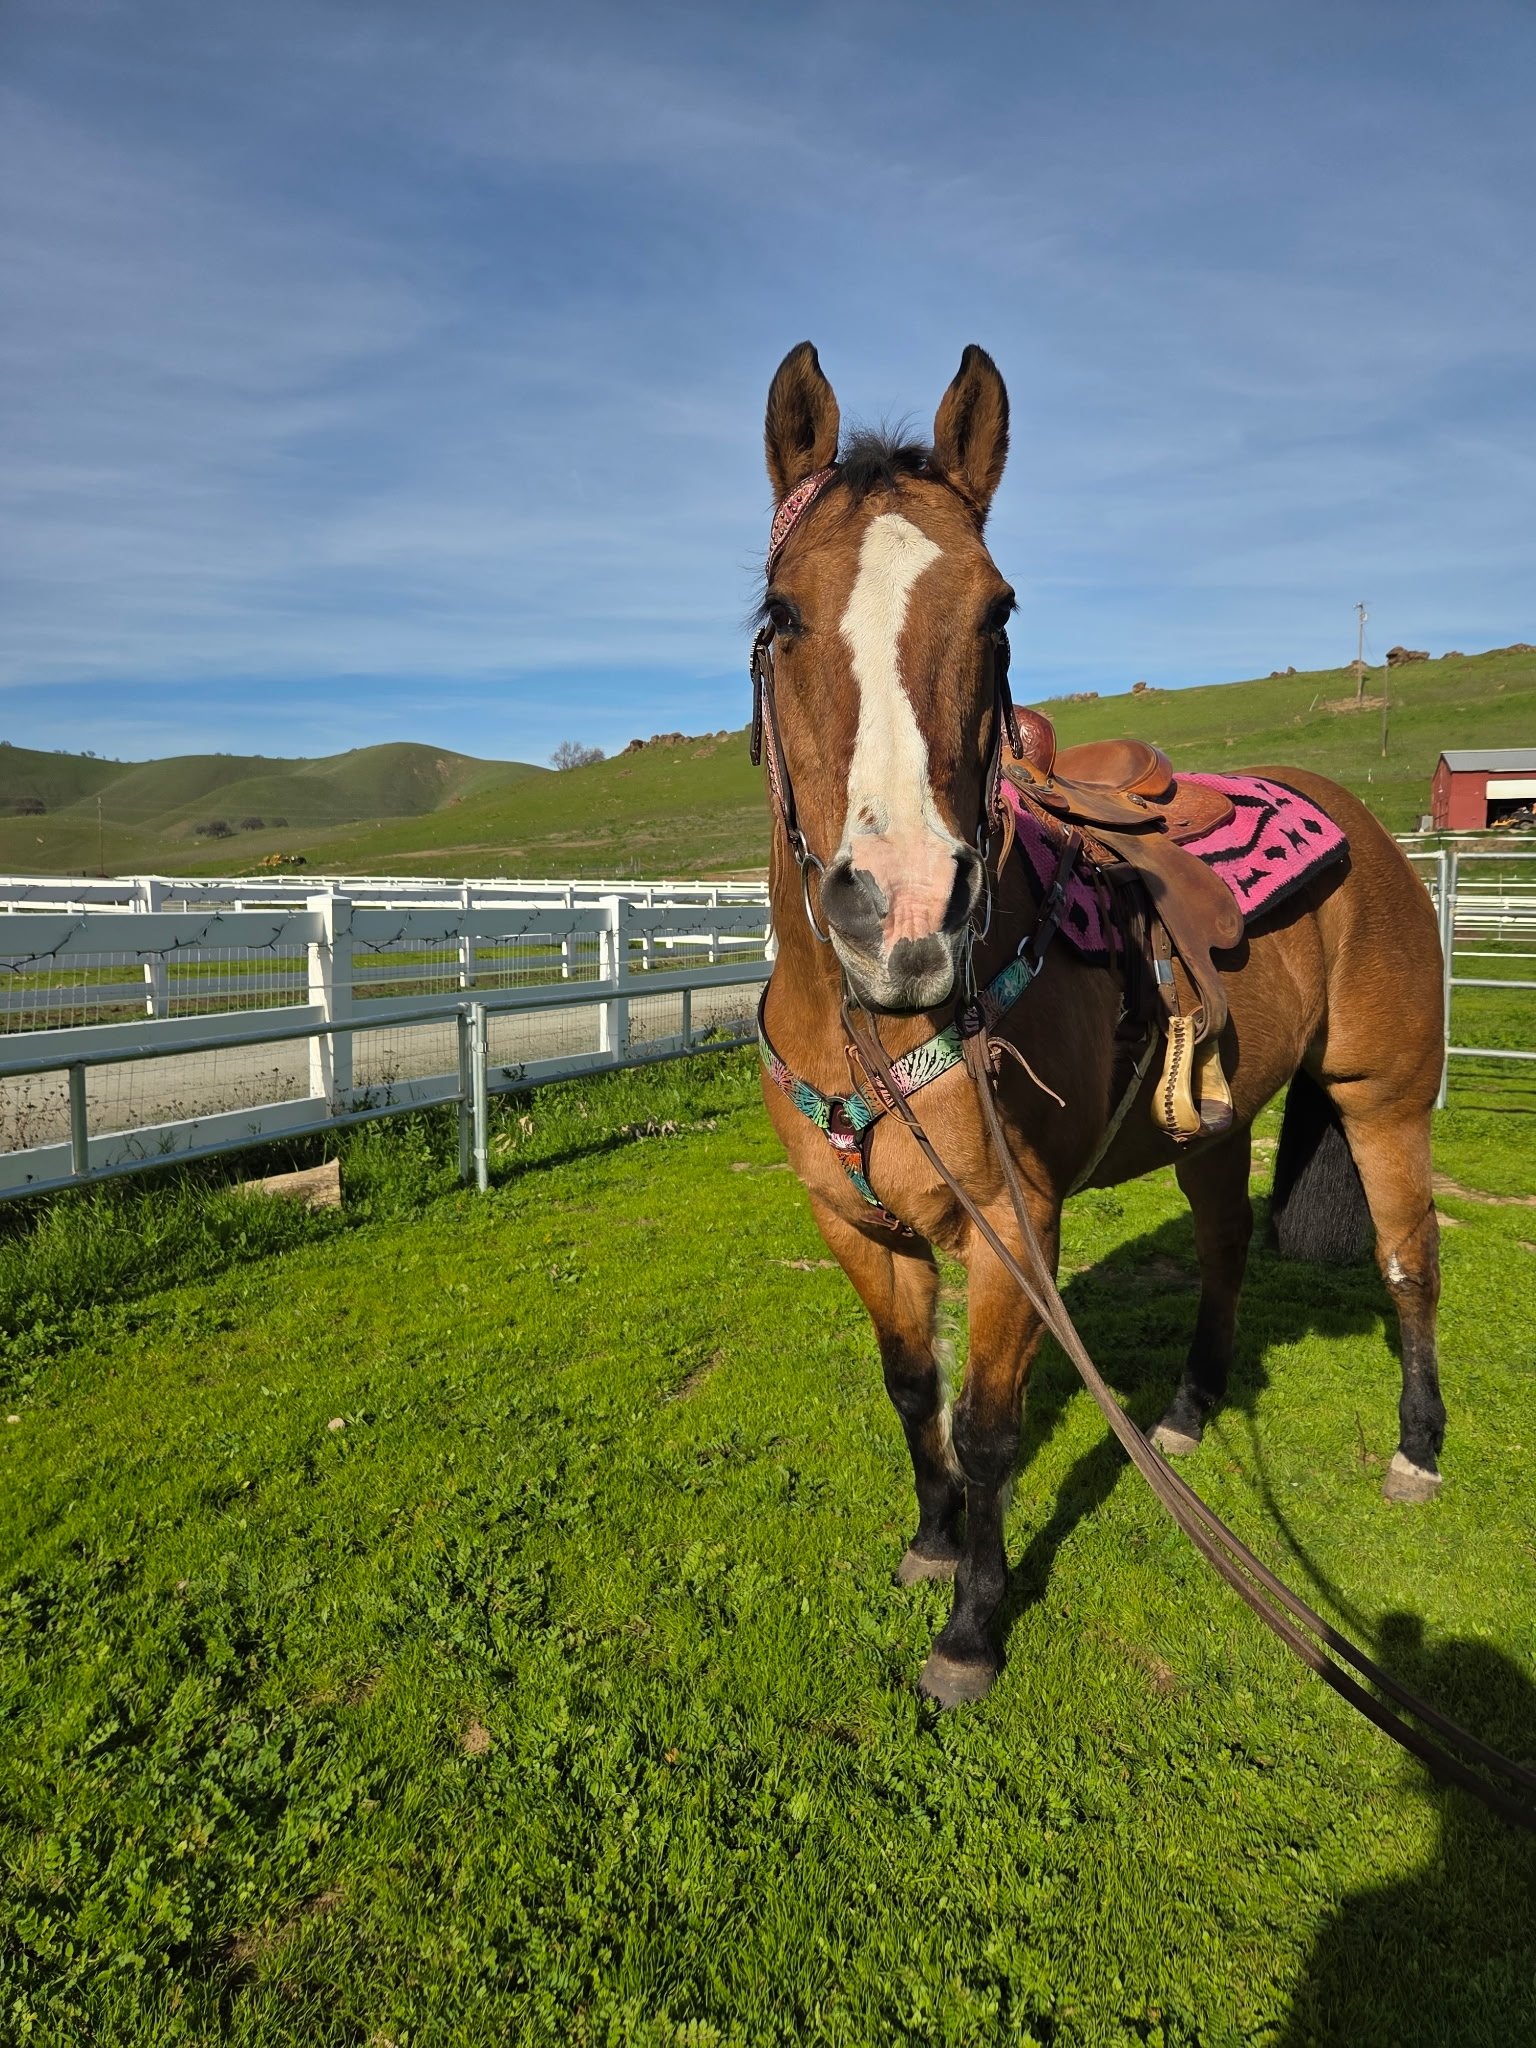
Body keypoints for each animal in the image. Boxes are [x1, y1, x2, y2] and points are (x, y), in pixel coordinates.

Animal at [752, 341, 1446, 1709]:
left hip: (1385, 1105)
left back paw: (1418, 1445)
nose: (904, 909)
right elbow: (910, 1389)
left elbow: (987, 1427)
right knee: (1227, 1244)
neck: (873, 1032)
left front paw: (972, 1626)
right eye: (782, 613)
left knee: (1409, 1261)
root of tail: (1369, 831)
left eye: (998, 612)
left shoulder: (1013, 1225)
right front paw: (929, 1540)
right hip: (1212, 1124)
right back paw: (1187, 1407)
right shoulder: (853, 1225)